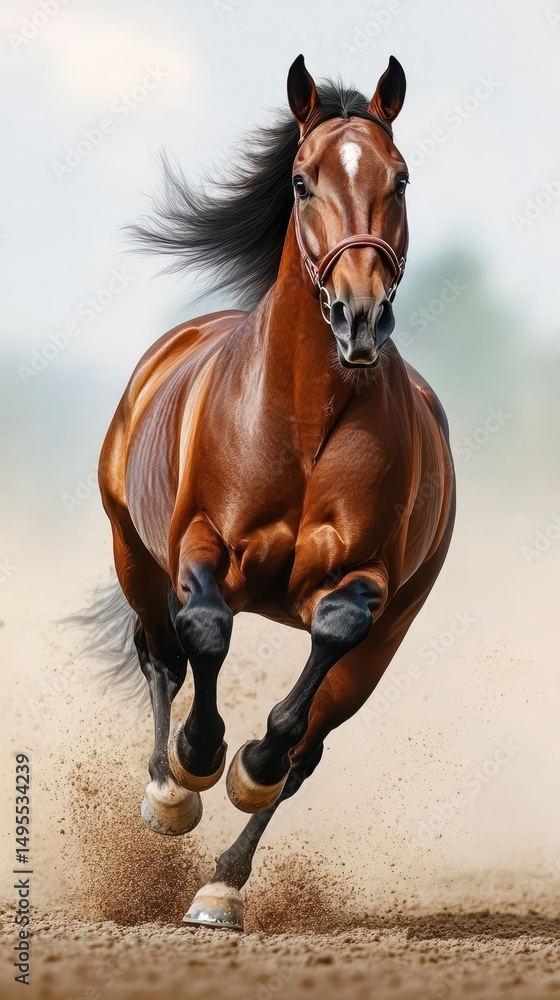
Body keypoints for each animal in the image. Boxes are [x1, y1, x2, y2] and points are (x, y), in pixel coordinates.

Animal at [92, 54, 455, 931]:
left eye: (401, 176)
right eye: (301, 180)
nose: (360, 316)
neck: (303, 420)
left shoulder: (366, 584)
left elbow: (312, 679)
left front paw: (249, 763)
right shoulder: (199, 545)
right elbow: (207, 630)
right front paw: (198, 762)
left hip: (385, 646)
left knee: (310, 746)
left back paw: (221, 885)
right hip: (133, 553)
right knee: (161, 652)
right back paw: (168, 795)